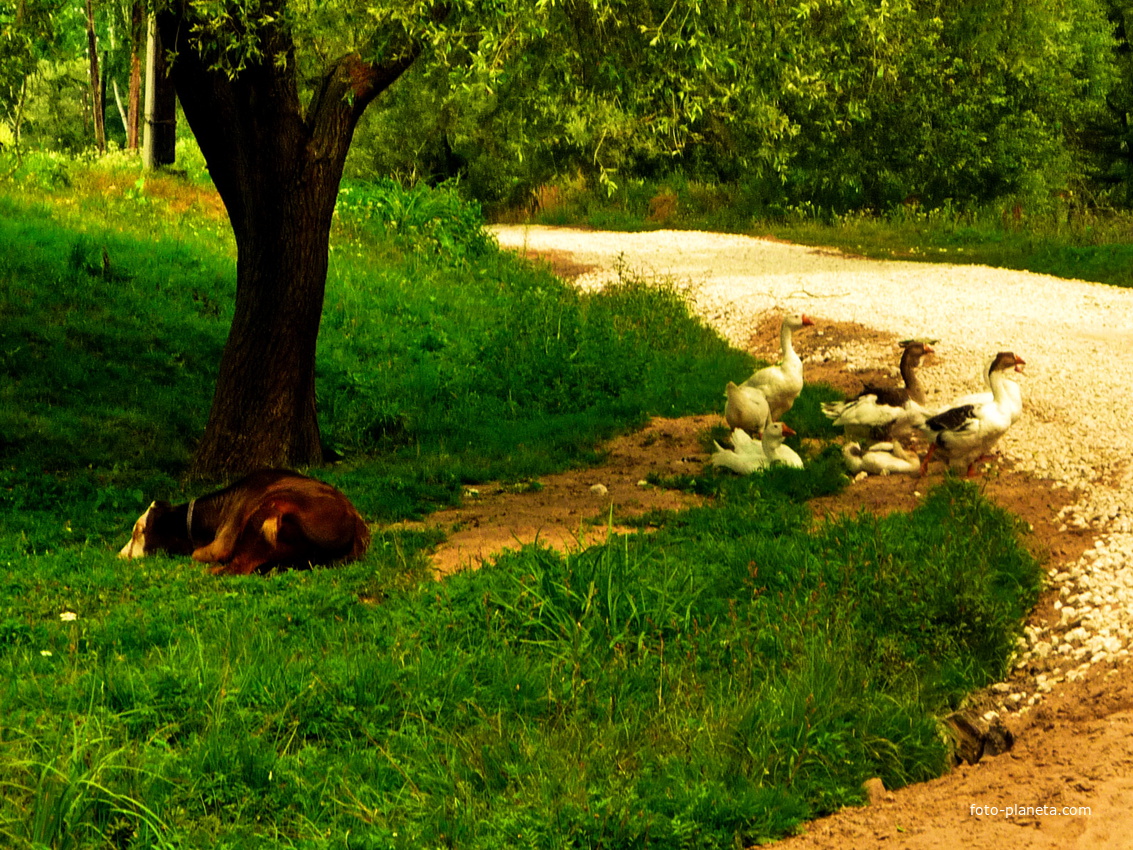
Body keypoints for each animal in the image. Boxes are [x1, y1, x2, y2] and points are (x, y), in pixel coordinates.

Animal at [118, 469, 371, 575]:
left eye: (138, 531)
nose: (120, 555)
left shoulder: (221, 545)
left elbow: (198, 554)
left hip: (268, 512)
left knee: (235, 568)